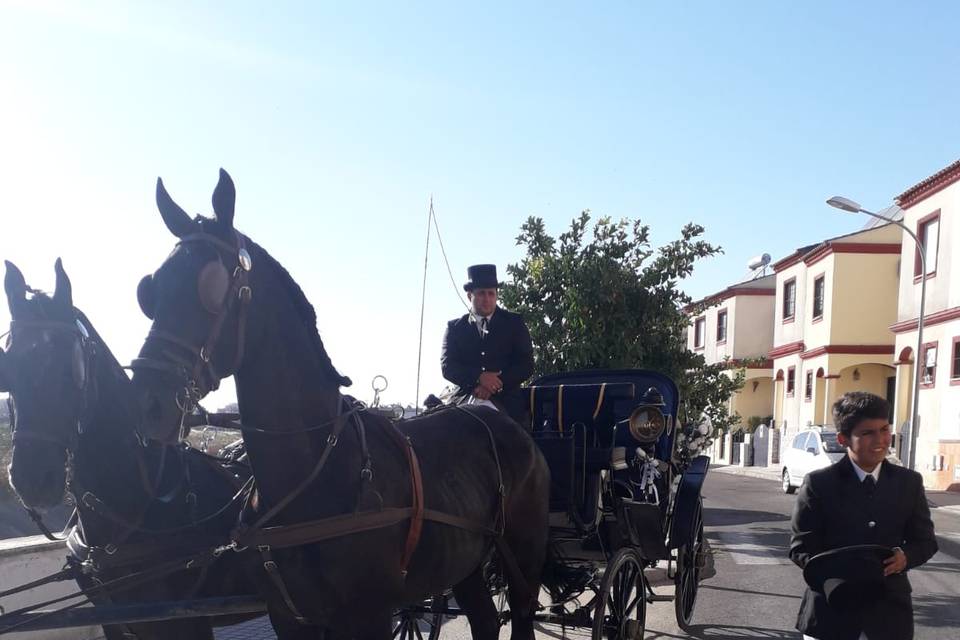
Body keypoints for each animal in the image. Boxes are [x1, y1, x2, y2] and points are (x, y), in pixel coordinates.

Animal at [129, 169, 548, 640]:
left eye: (213, 289)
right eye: (151, 289)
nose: (147, 403)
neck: (313, 471)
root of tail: (508, 427)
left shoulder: (369, 615)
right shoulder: (290, 617)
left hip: (524, 555)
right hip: (465, 560)